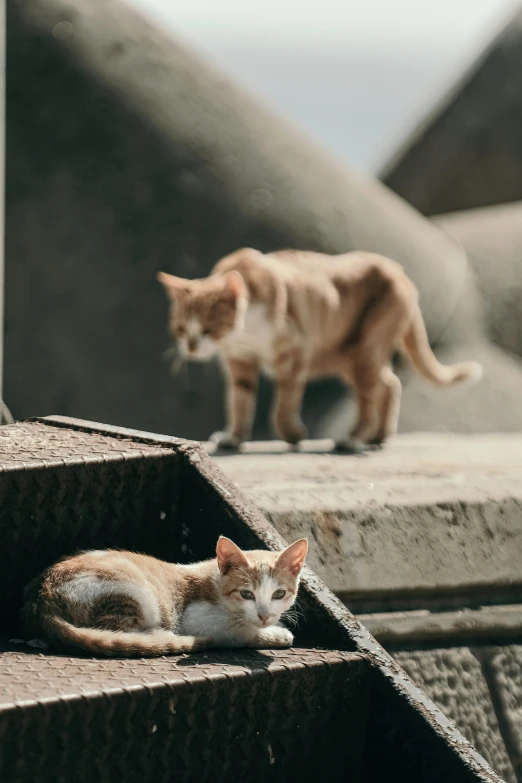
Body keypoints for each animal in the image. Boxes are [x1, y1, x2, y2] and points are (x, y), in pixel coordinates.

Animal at [21, 536, 304, 660]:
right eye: (247, 594)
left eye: (279, 594)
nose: (264, 615)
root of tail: (42, 598)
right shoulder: (196, 619)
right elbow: (237, 631)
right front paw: (276, 634)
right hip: (135, 592)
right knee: (112, 630)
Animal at [156, 248, 482, 450]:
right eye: (181, 329)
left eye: (208, 328)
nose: (192, 346)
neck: (245, 335)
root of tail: (399, 270)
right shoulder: (240, 363)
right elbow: (240, 403)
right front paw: (234, 438)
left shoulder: (294, 353)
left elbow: (282, 407)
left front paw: (293, 435)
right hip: (349, 358)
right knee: (390, 384)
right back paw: (378, 437)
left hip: (364, 349)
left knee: (371, 395)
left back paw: (354, 438)